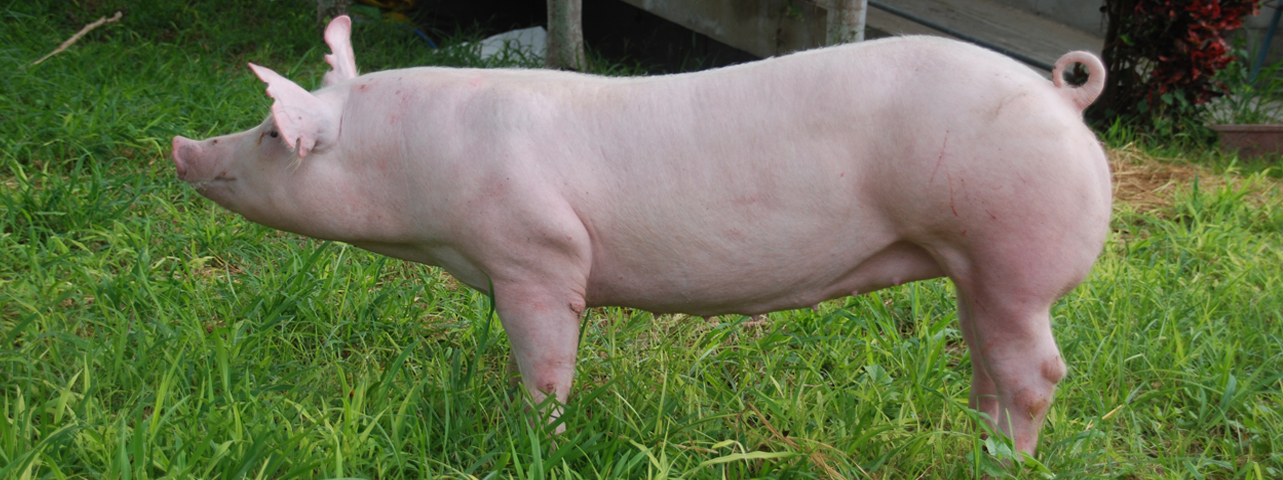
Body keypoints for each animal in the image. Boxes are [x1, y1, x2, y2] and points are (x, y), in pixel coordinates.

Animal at [171, 15, 1110, 455]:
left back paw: (1006, 458)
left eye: (270, 133)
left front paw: (531, 438)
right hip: (975, 269)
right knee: (986, 358)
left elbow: (547, 361)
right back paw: (979, 441)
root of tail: (1062, 94)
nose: (183, 147)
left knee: (1038, 371)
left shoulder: (537, 253)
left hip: (1009, 253)